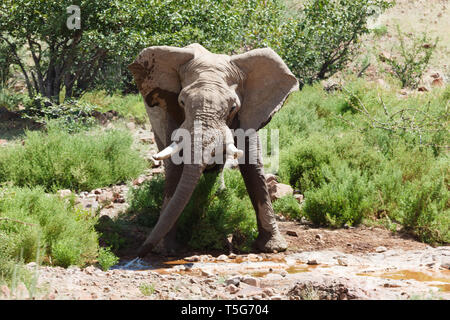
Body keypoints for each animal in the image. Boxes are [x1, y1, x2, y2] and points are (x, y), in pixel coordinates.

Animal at [128, 43, 298, 258]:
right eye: (182, 102)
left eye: (233, 107)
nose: (139, 253)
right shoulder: (171, 111)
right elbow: (175, 166)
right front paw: (166, 250)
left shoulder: (251, 112)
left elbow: (252, 165)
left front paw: (273, 248)